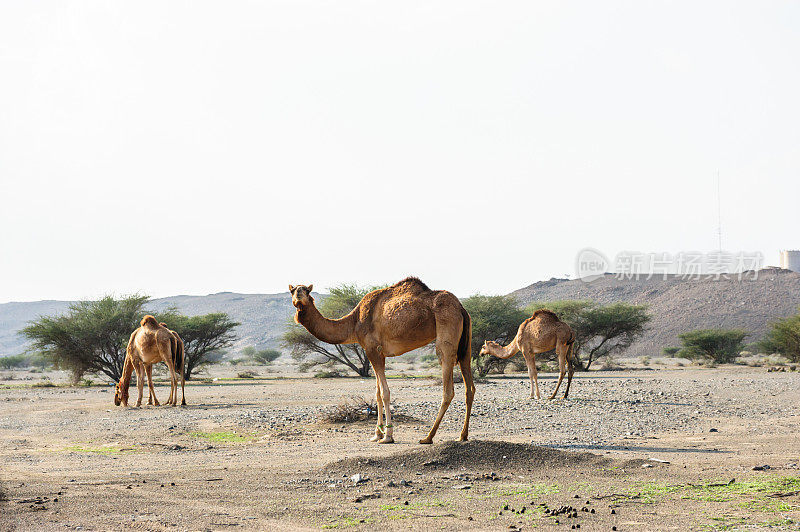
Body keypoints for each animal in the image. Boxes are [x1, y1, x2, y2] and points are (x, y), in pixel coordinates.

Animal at [290, 276, 472, 442]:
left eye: (307, 290)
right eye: (292, 290)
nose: (298, 294)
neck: (354, 322)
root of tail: (461, 308)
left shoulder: (372, 349)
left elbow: (384, 393)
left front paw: (388, 436)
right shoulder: (379, 353)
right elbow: (377, 393)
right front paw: (377, 434)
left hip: (447, 329)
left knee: (448, 387)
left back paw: (428, 437)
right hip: (466, 343)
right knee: (469, 388)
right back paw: (463, 435)